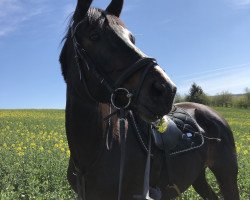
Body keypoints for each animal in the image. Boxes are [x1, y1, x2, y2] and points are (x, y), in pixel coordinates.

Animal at [59, 0, 239, 199]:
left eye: (132, 38)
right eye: (94, 35)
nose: (166, 90)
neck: (92, 155)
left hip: (227, 175)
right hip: (198, 176)